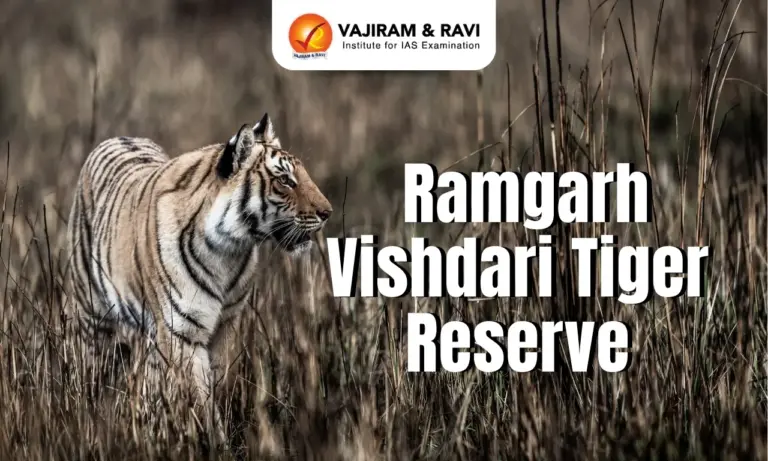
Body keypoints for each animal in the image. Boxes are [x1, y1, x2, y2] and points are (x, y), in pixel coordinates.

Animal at [65, 113, 332, 443]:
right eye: (285, 180)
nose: (327, 212)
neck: (230, 250)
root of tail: (119, 137)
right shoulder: (182, 332)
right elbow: (199, 396)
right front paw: (213, 441)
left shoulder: (225, 326)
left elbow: (214, 382)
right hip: (90, 314)